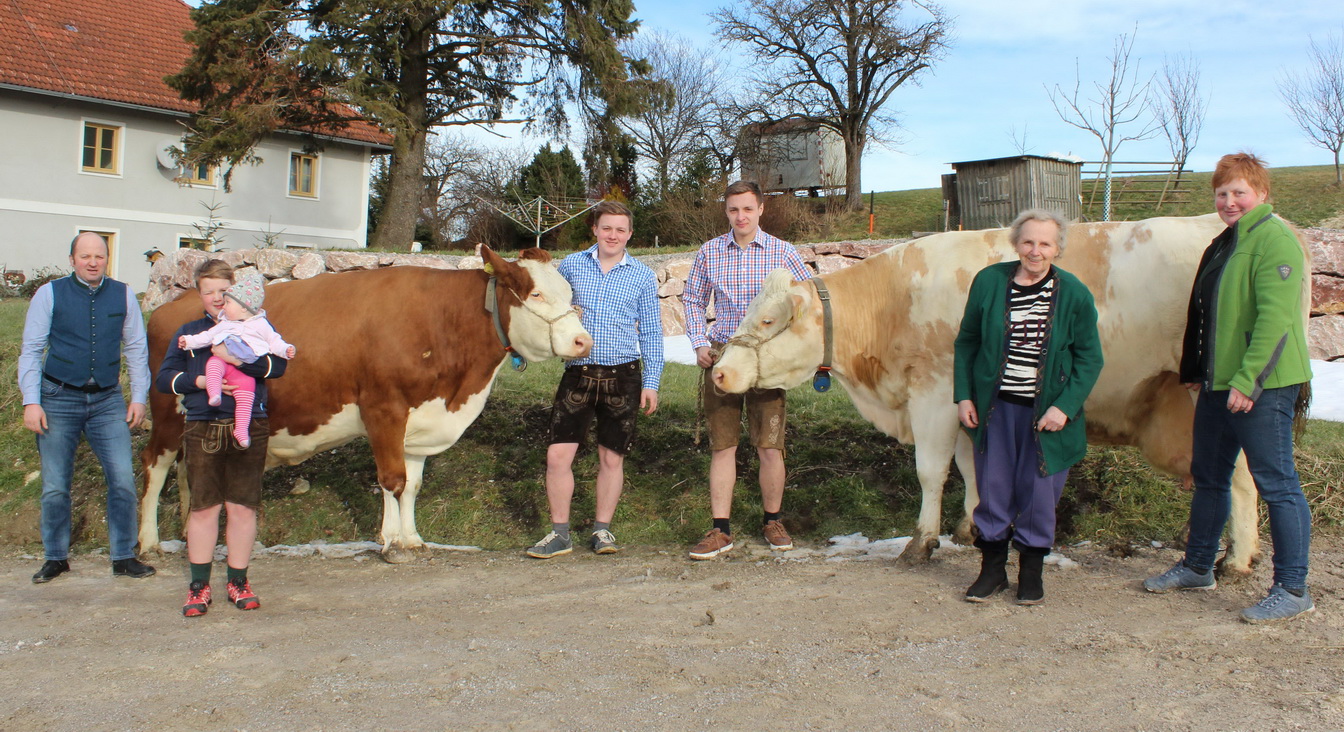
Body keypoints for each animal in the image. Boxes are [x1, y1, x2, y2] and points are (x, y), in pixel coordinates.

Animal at [137, 245, 594, 558]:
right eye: (534, 295)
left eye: (567, 290)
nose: (582, 341)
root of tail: (170, 306)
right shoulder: (383, 409)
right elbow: (392, 480)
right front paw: (390, 543)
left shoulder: (421, 420)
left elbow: (413, 484)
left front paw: (412, 538)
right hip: (166, 410)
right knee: (155, 467)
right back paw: (148, 543)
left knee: (188, 471)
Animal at [715, 213, 1268, 574]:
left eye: (767, 321)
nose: (719, 372)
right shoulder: (967, 400)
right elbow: (972, 464)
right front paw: (972, 528)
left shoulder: (935, 391)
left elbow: (932, 470)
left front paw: (923, 542)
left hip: (1214, 401)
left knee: (1240, 477)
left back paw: (1236, 561)